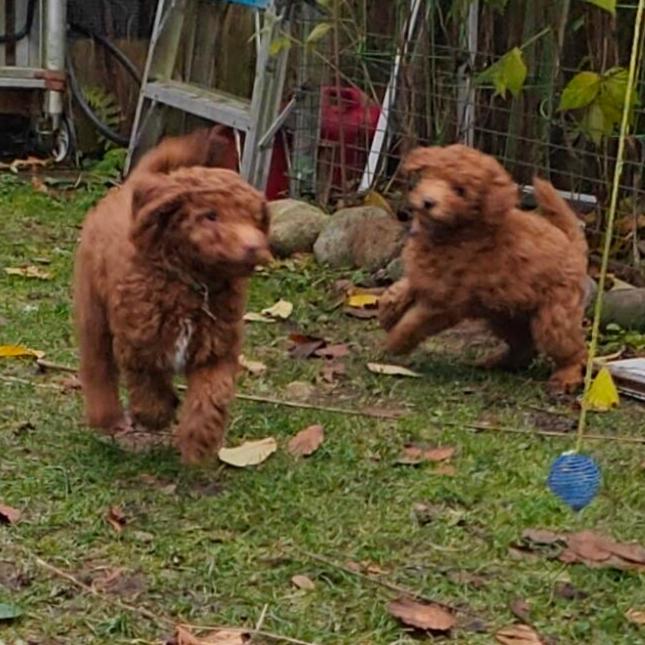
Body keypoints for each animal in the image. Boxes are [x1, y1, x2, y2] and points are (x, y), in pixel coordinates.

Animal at [74, 131, 270, 462]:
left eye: (255, 219)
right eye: (210, 215)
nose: (253, 246)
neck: (192, 283)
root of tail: (133, 184)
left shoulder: (217, 350)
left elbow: (210, 396)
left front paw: (199, 441)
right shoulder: (140, 343)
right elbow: (148, 385)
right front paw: (156, 413)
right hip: (92, 307)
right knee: (97, 363)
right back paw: (107, 416)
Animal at [380, 145, 588, 392]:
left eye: (460, 191)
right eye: (432, 175)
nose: (428, 202)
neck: (455, 231)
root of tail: (572, 244)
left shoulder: (445, 303)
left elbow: (413, 322)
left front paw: (395, 342)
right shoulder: (426, 277)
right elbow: (400, 289)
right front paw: (387, 313)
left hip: (554, 317)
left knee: (573, 350)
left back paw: (567, 377)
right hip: (507, 315)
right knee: (524, 346)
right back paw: (498, 362)